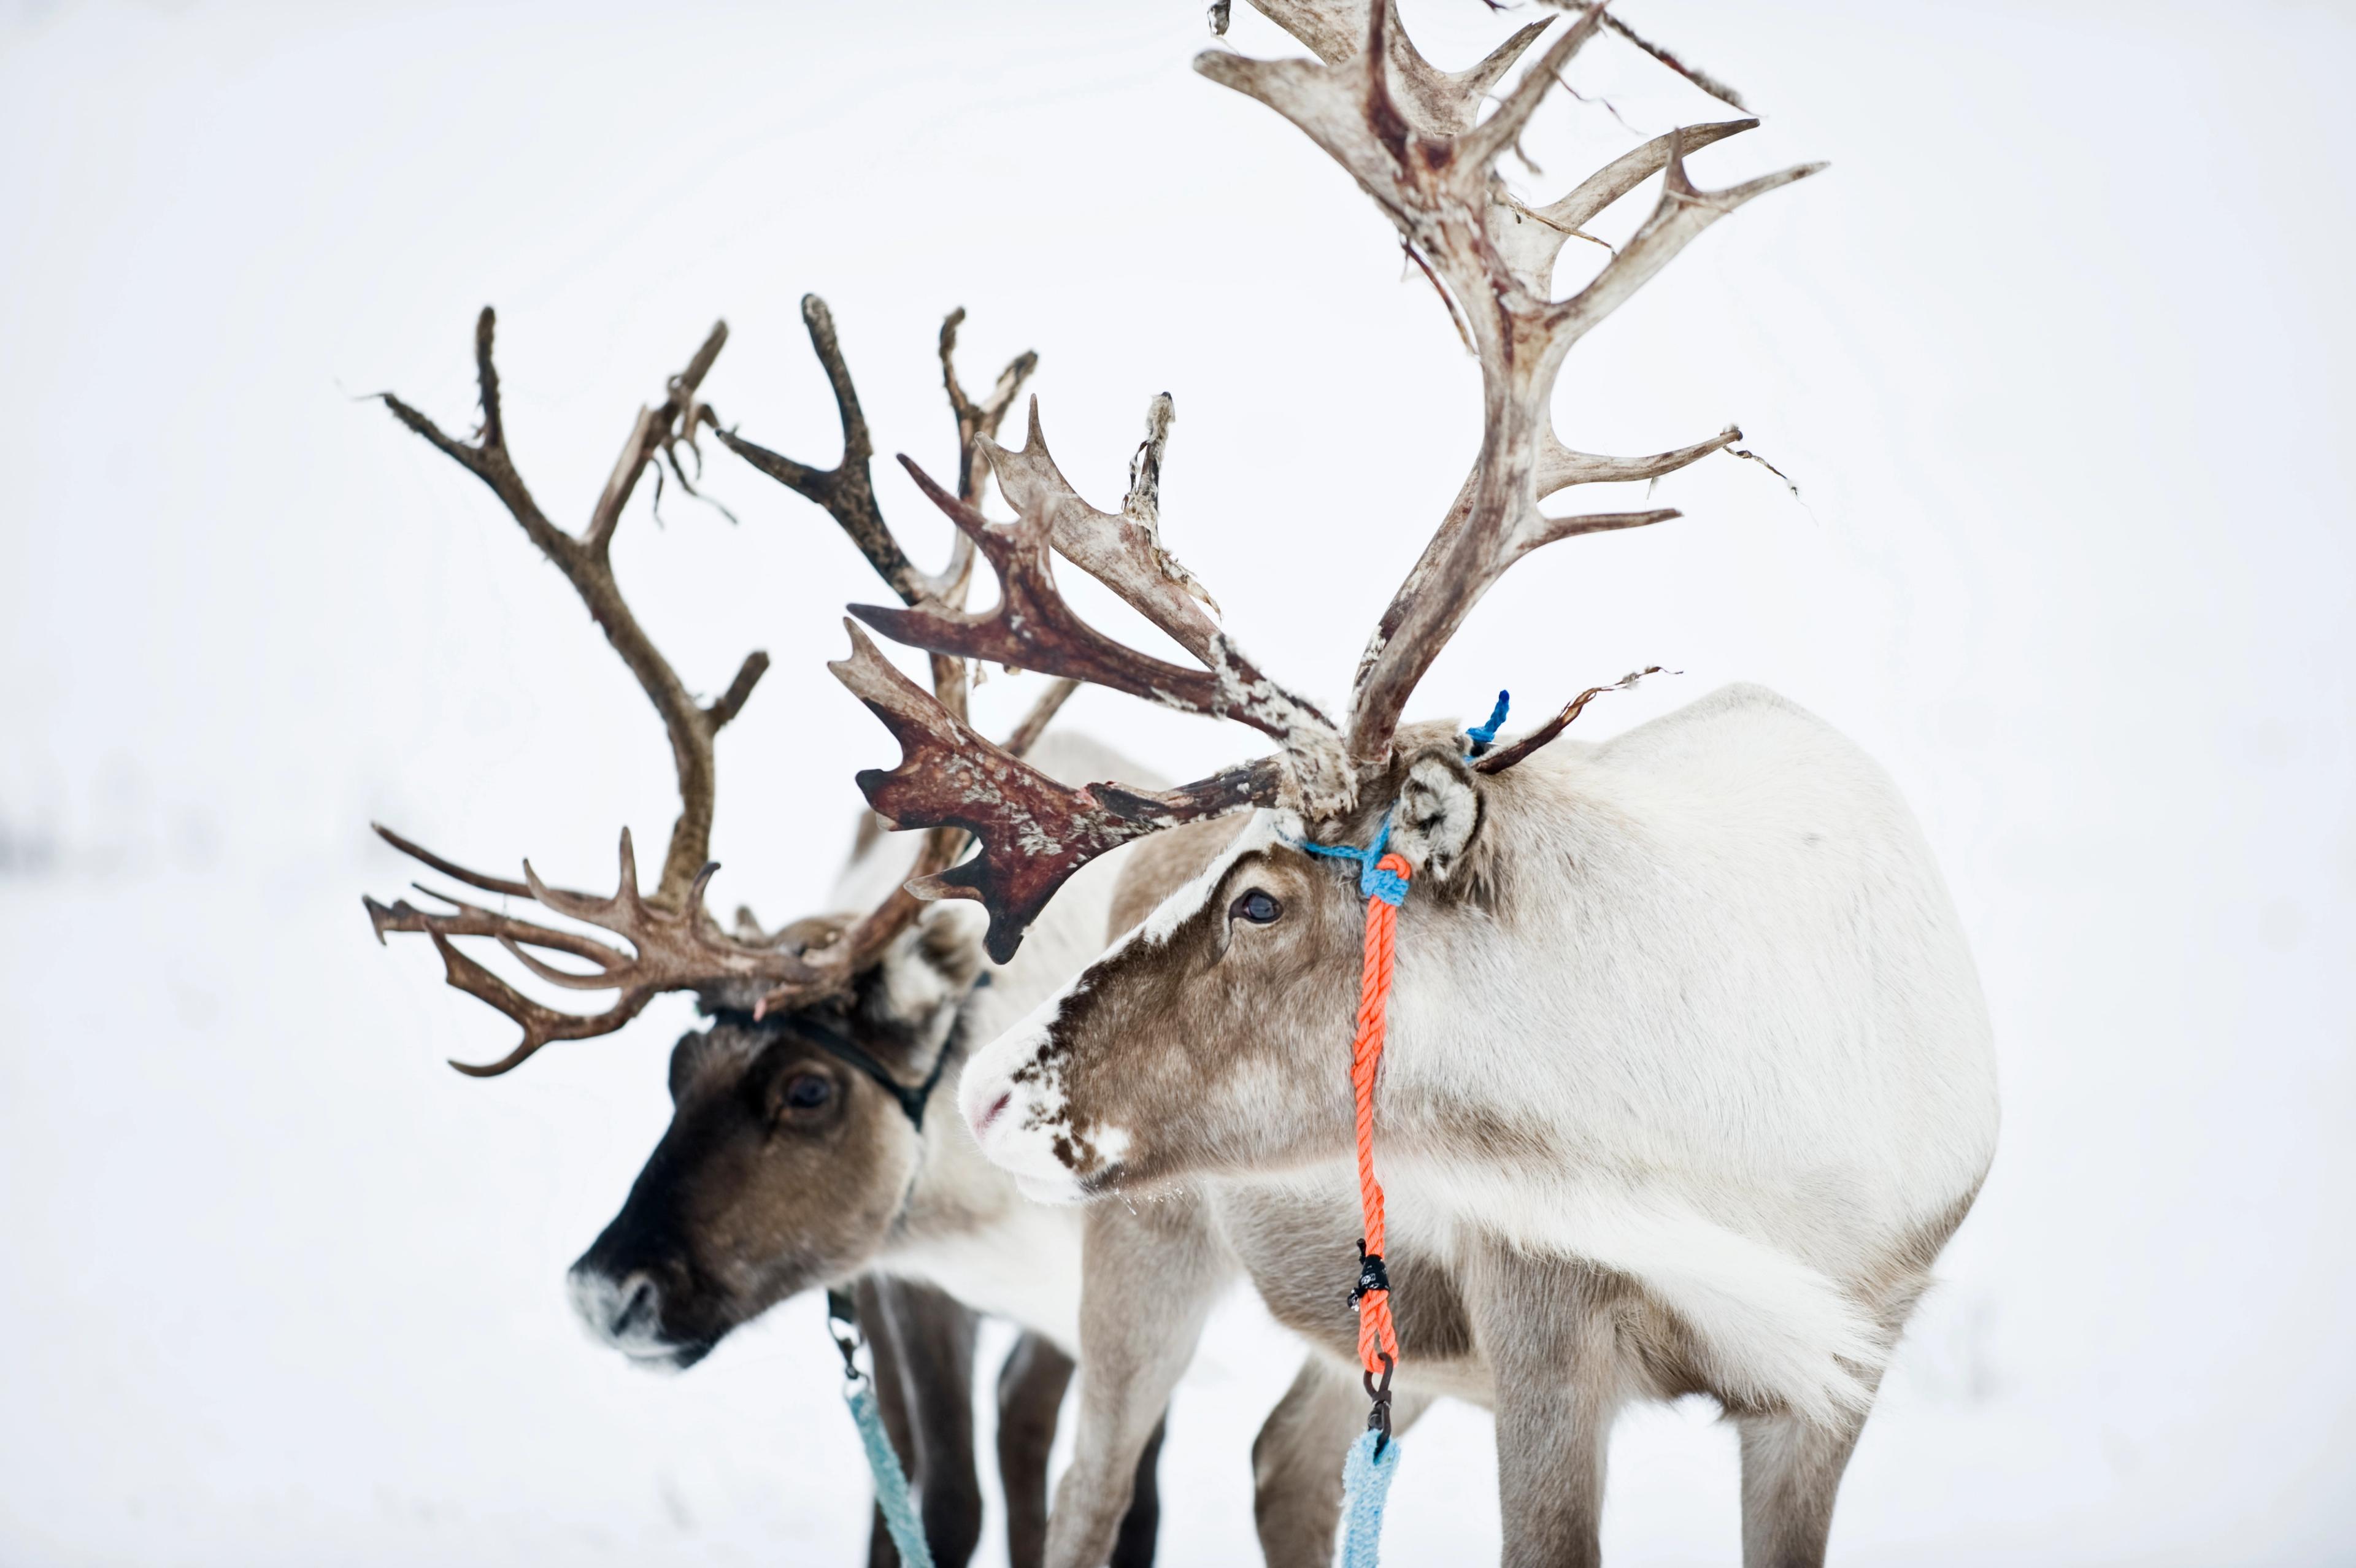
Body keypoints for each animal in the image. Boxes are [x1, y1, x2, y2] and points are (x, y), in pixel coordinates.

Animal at [360, 299, 1171, 1568]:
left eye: (808, 1089)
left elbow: (1101, 1492)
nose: (606, 1294)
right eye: (677, 1064)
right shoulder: (901, 1284)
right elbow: (941, 1499)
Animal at [815, 4, 2002, 1566]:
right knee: (1094, 1487)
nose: (1001, 1093)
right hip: (1160, 1251)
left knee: (1287, 1458)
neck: (1724, 1163)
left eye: (1261, 902)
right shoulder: (1540, 1313)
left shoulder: (1843, 1361)